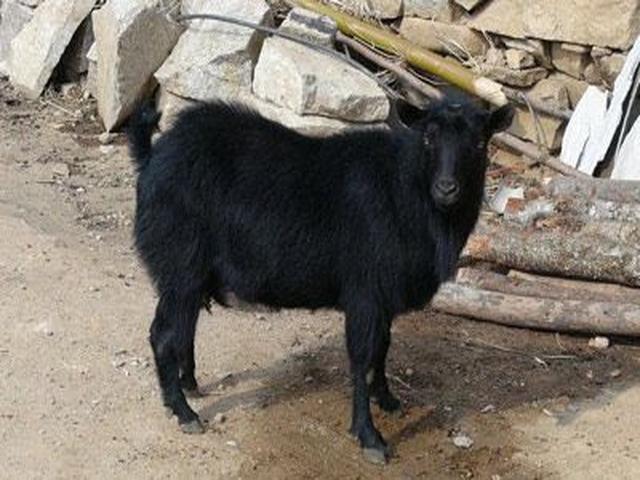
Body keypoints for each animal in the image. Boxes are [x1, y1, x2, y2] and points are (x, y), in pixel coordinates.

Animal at [128, 97, 513, 464]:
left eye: (480, 142)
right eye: (428, 138)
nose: (447, 188)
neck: (405, 189)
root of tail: (152, 157)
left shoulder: (384, 297)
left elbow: (384, 347)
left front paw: (388, 399)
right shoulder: (365, 294)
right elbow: (363, 359)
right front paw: (370, 437)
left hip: (189, 275)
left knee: (184, 327)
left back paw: (190, 384)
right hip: (181, 267)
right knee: (163, 334)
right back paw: (184, 412)